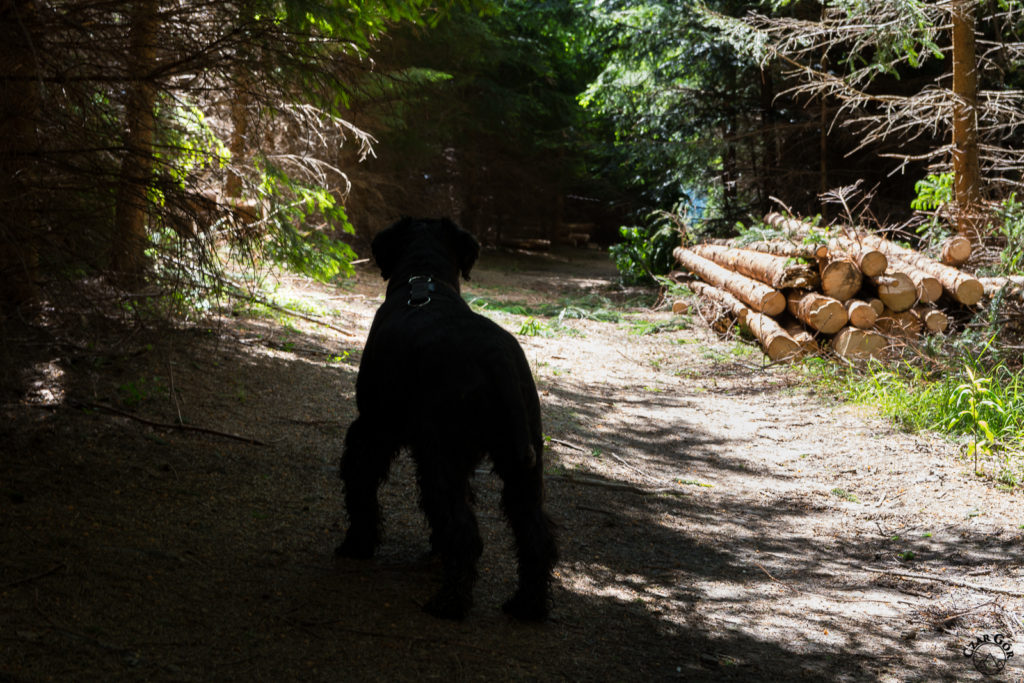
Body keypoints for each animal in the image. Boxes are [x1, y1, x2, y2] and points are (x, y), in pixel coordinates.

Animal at [339, 218, 557, 618]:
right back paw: (526, 606)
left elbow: (360, 482)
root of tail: (496, 357)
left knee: (465, 532)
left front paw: (357, 544)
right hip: (521, 465)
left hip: (443, 456)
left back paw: (450, 602)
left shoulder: (373, 430)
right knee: (535, 534)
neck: (424, 277)